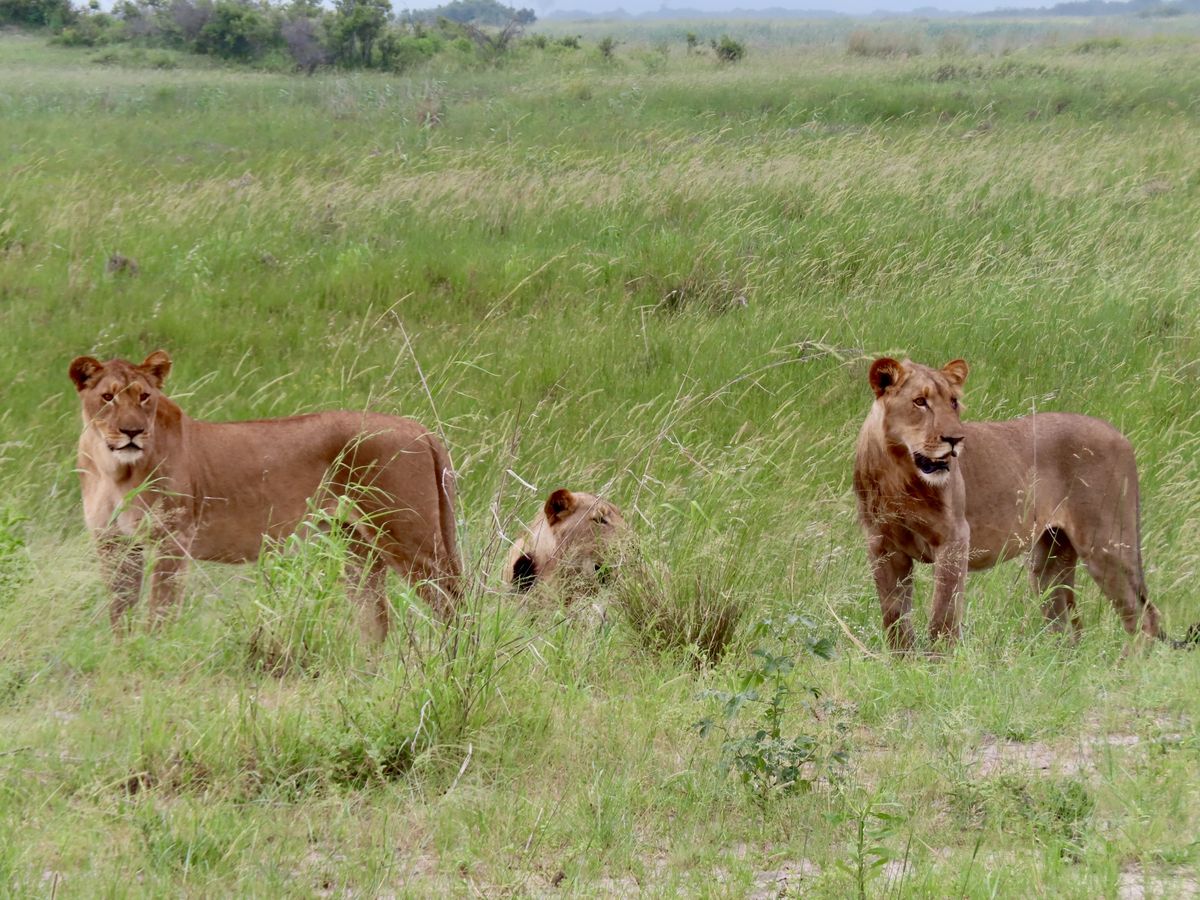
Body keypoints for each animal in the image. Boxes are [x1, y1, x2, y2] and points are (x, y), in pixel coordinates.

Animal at [69, 350, 462, 639]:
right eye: (107, 397)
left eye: (145, 397)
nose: (132, 431)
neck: (114, 470)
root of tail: (419, 428)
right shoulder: (113, 543)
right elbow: (120, 612)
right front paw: (125, 655)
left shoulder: (171, 538)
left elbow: (158, 612)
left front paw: (153, 656)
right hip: (355, 545)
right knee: (377, 620)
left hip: (408, 537)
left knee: (453, 602)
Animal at [853, 356, 1194, 652]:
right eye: (919, 402)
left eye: (953, 402)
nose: (955, 440)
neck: (900, 475)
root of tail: (1119, 435)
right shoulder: (882, 546)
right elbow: (894, 616)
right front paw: (903, 664)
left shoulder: (955, 540)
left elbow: (943, 616)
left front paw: (938, 667)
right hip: (1050, 560)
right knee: (1067, 626)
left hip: (1107, 543)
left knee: (1144, 618)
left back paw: (1122, 670)